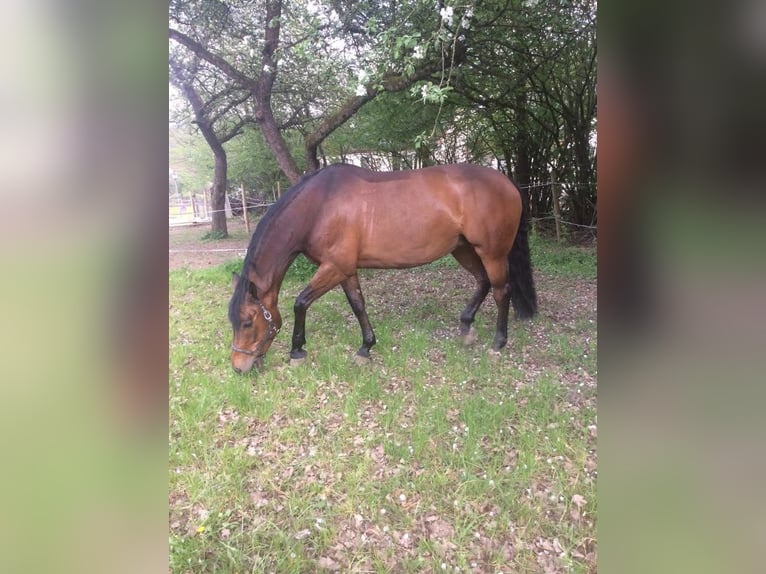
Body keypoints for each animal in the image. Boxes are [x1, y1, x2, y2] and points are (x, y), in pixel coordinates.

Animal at [228, 163, 537, 374]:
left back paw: (498, 344)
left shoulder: (334, 267)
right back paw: (466, 327)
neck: (320, 206)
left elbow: (300, 303)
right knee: (483, 281)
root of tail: (508, 184)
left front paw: (297, 351)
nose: (239, 366)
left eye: (247, 322)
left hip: (492, 252)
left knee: (501, 291)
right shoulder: (345, 269)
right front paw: (366, 347)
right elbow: (358, 305)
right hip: (463, 249)